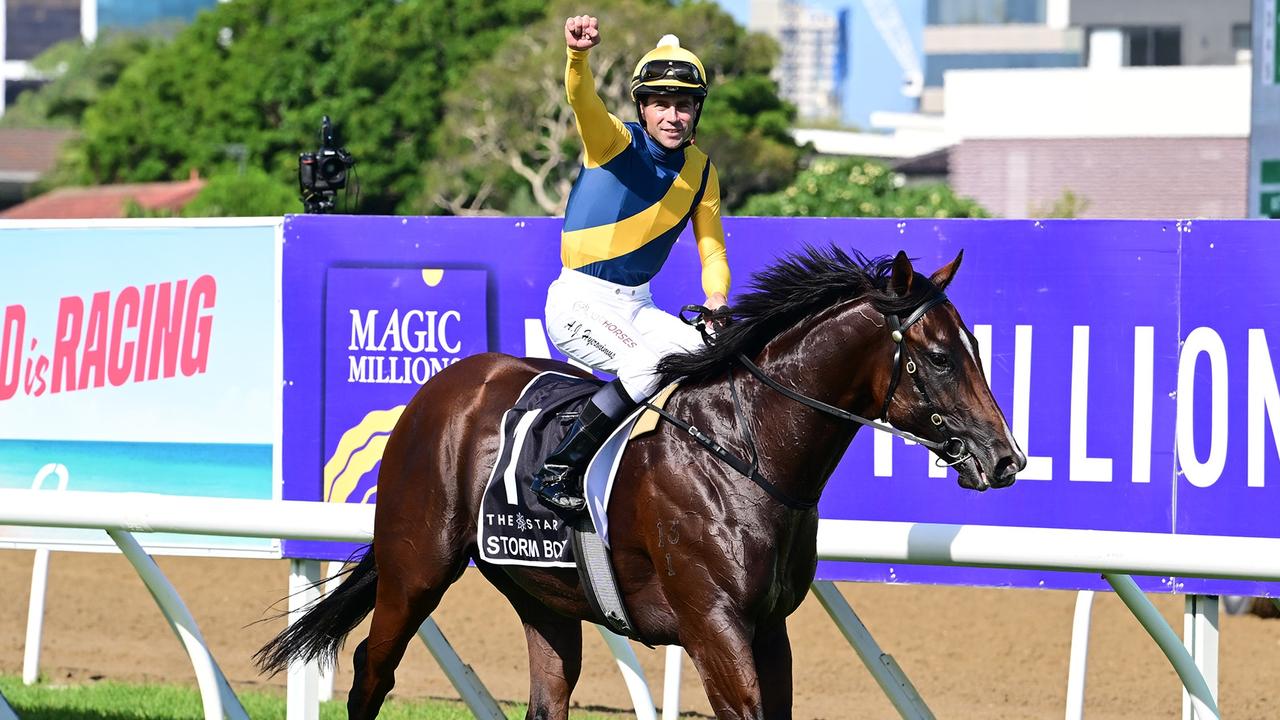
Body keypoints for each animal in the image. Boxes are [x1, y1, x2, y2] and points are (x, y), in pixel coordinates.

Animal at [257, 243, 1029, 712]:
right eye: (938, 357)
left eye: (976, 346)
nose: (1006, 458)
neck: (746, 450)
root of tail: (440, 387)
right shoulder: (713, 624)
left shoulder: (768, 625)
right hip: (415, 565)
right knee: (371, 668)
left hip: (543, 592)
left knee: (547, 695)